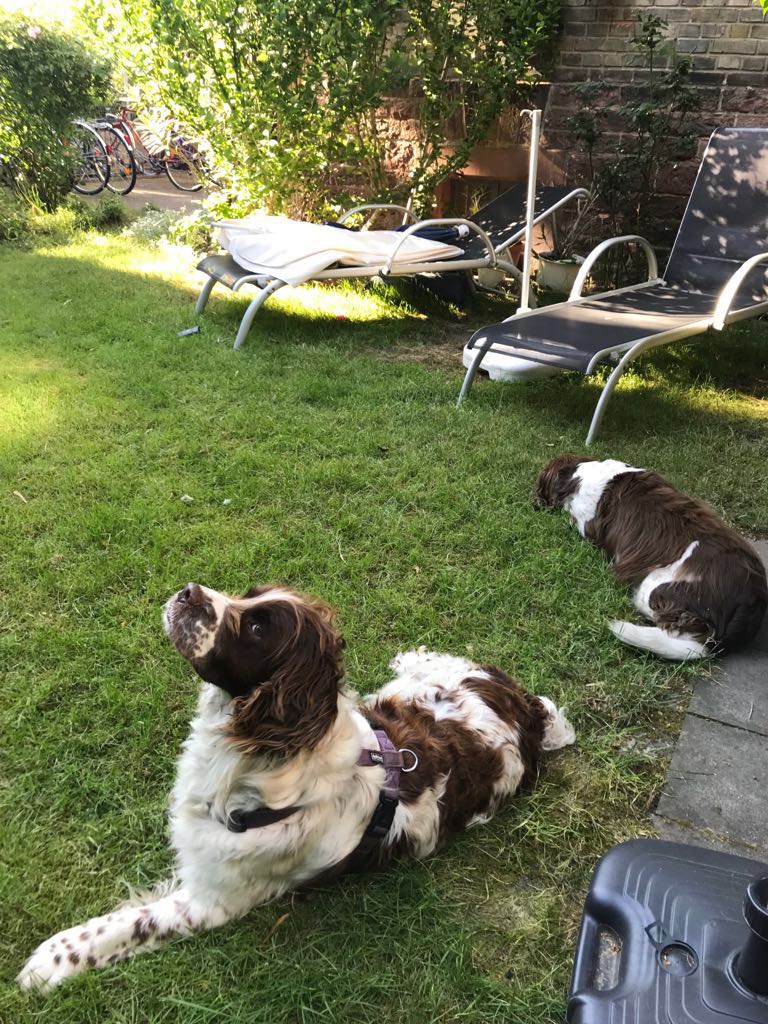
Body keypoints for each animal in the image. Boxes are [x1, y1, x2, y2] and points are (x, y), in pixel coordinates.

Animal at [18, 582, 574, 992]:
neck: (259, 760)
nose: (189, 590)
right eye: (247, 594)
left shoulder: (213, 899)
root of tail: (527, 713)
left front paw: (50, 962)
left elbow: (131, 923)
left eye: (256, 627)